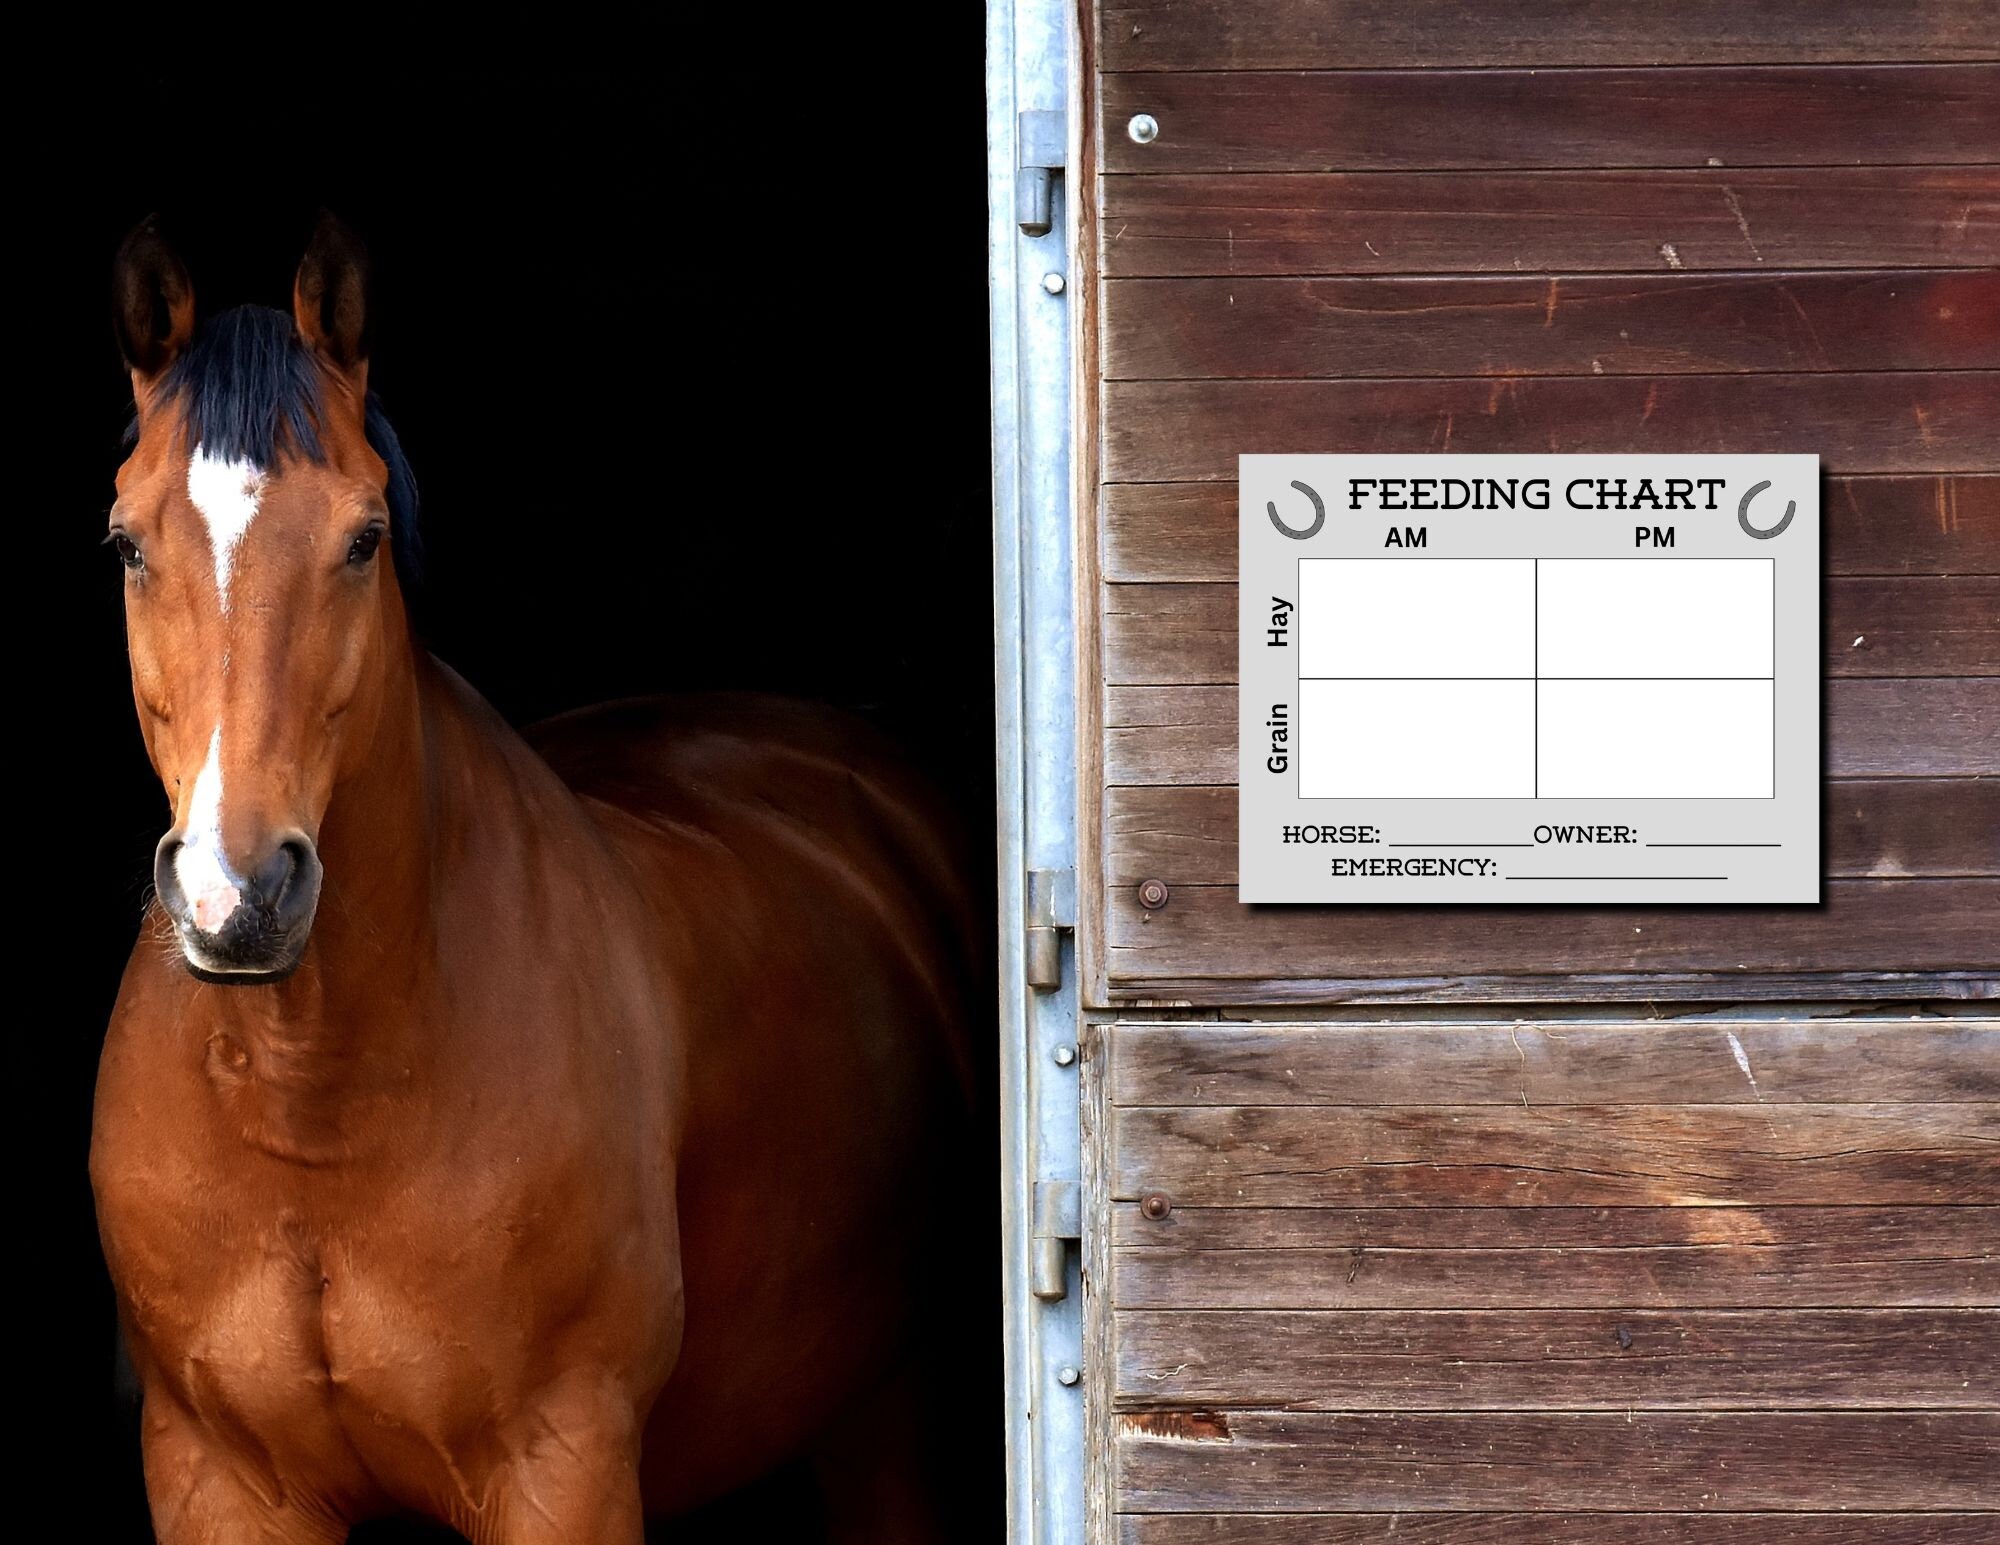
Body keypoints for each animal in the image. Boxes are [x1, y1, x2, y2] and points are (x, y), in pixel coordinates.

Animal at [88, 214, 983, 1544]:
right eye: (128, 542)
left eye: (361, 538)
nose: (235, 896)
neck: (312, 1110)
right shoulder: (215, 1478)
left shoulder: (561, 1468)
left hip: (886, 1418)